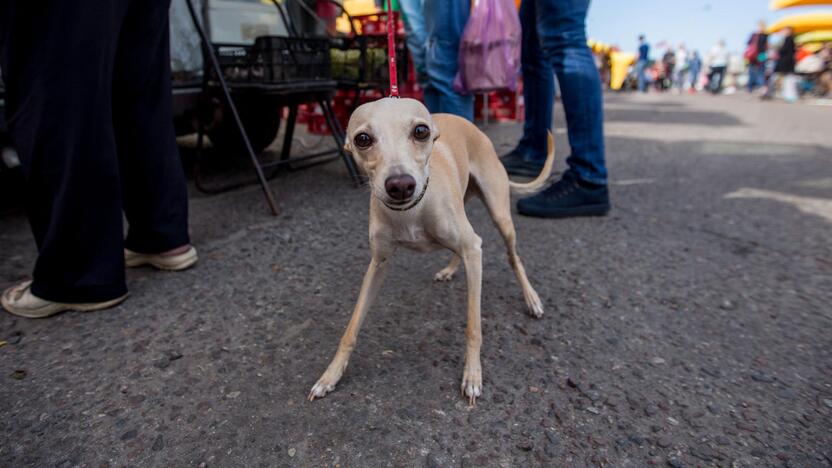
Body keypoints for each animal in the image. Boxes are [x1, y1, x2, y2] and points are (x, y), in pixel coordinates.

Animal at [308, 97, 556, 404]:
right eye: (362, 139)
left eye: (420, 131)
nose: (400, 185)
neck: (412, 212)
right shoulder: (378, 262)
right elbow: (351, 328)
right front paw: (330, 375)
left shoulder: (472, 250)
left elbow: (473, 327)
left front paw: (472, 375)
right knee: (469, 245)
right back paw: (450, 269)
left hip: (500, 216)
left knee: (513, 257)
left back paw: (531, 299)